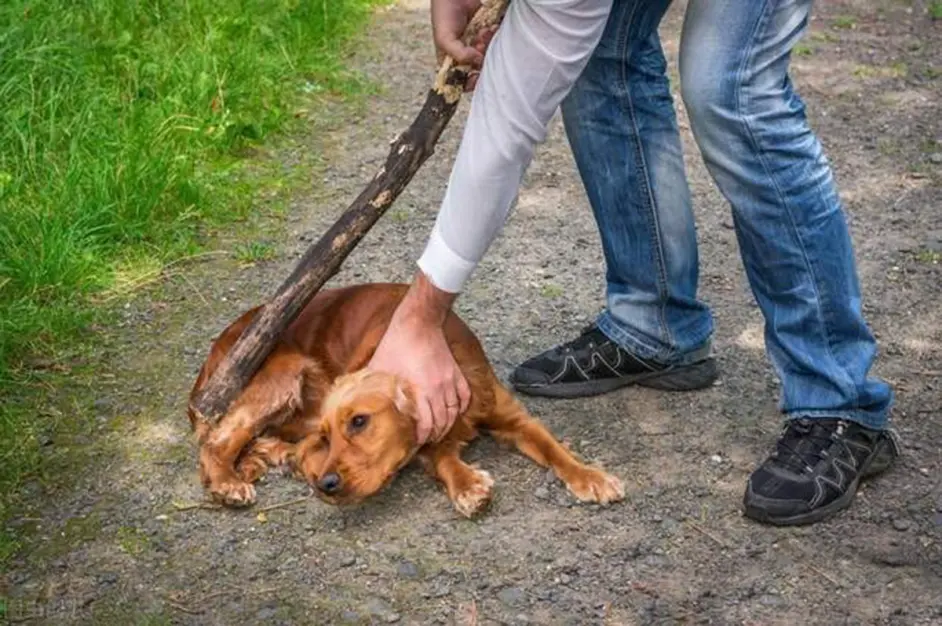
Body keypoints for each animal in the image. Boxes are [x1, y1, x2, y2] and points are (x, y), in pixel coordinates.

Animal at [187, 280, 624, 516]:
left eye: (359, 422)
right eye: (330, 436)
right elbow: (445, 460)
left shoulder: (512, 417)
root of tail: (213, 353)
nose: (326, 485)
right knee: (217, 438)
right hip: (284, 372)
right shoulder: (428, 439)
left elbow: (555, 449)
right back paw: (228, 481)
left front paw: (591, 476)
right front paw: (469, 486)